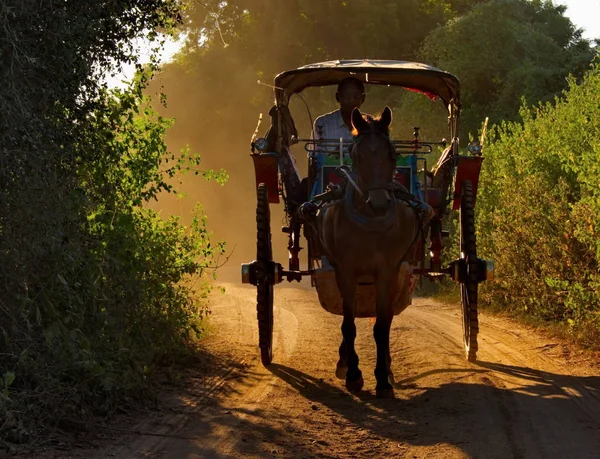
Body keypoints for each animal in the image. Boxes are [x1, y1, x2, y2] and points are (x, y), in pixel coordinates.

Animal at [316, 106, 420, 398]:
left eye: (392, 154)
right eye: (357, 154)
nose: (380, 203)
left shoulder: (388, 272)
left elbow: (382, 326)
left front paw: (383, 378)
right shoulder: (346, 272)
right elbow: (348, 325)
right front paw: (353, 374)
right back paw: (344, 363)